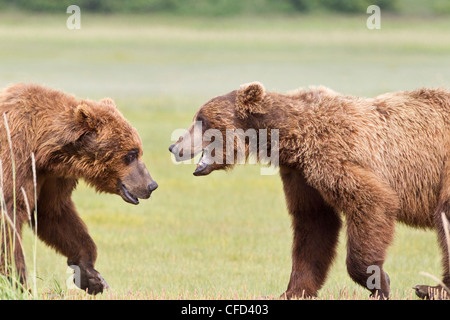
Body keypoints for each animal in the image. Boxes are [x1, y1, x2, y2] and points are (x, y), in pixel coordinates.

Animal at [0, 83, 158, 296]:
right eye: (131, 154)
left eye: (138, 151)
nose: (151, 185)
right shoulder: (15, 156)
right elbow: (10, 213)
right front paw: (18, 282)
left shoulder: (52, 176)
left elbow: (54, 212)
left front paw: (91, 275)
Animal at [169, 81, 450, 298]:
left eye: (201, 120)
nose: (174, 146)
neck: (291, 137)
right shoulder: (301, 176)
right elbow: (313, 225)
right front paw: (292, 291)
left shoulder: (333, 155)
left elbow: (371, 200)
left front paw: (378, 281)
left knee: (444, 215)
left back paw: (431, 288)